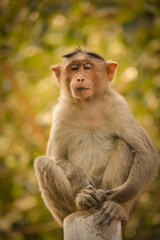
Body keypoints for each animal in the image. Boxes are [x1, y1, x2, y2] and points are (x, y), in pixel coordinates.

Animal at [33, 47, 159, 229]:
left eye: (87, 67)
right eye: (73, 68)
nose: (79, 77)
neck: (88, 105)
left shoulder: (119, 106)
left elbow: (147, 153)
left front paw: (118, 194)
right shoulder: (61, 112)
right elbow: (57, 158)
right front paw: (81, 178)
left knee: (123, 144)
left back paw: (115, 208)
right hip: (62, 216)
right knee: (43, 163)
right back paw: (82, 201)